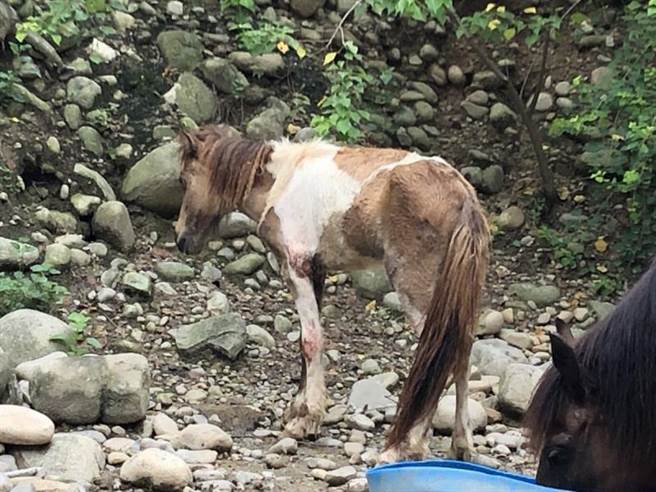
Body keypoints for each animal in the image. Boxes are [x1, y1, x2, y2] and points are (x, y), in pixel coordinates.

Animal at [174, 124, 489, 462]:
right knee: (462, 357)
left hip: (418, 293)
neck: (280, 180)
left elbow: (312, 342)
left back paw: (409, 444)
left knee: (438, 355)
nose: (181, 239)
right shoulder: (316, 271)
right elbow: (305, 343)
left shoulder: (296, 268)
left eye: (184, 179)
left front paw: (306, 421)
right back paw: (462, 444)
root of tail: (463, 196)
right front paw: (297, 410)